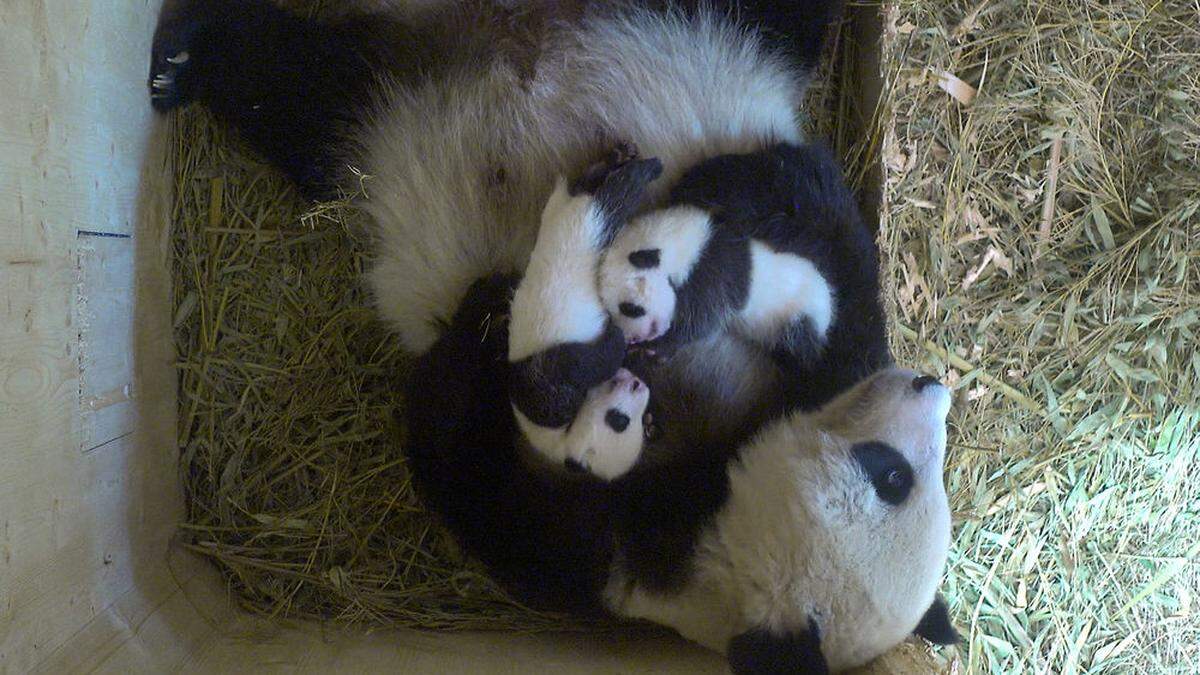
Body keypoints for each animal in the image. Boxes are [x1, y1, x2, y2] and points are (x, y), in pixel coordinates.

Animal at [150, 0, 960, 667]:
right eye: (894, 474)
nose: (932, 386)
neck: (708, 497)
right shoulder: (818, 359)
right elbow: (823, 228)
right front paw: (723, 192)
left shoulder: (598, 553)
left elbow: (468, 468)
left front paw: (489, 316)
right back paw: (177, 58)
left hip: (376, 119)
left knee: (300, 91)